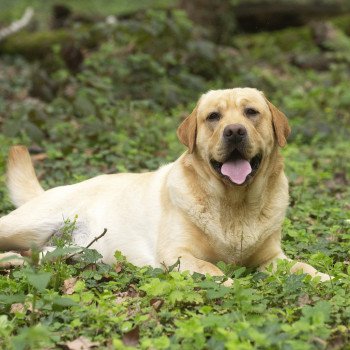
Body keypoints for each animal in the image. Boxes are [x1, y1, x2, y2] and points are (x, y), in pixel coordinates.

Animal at [0, 89, 330, 284]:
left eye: (251, 112)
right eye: (213, 116)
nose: (235, 131)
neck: (234, 204)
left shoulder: (271, 258)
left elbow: (299, 266)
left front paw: (321, 276)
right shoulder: (177, 254)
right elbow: (212, 269)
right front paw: (227, 281)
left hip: (65, 252)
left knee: (29, 256)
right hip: (26, 224)